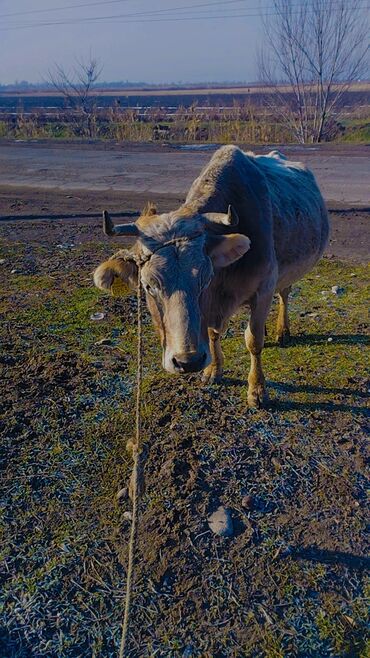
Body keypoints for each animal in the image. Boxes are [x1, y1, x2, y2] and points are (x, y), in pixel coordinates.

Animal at [93, 145, 330, 404]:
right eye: (148, 286)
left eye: (205, 279)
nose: (188, 361)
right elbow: (212, 333)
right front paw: (213, 370)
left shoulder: (264, 287)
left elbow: (253, 340)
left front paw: (257, 390)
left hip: (287, 271)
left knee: (284, 294)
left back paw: (282, 331)